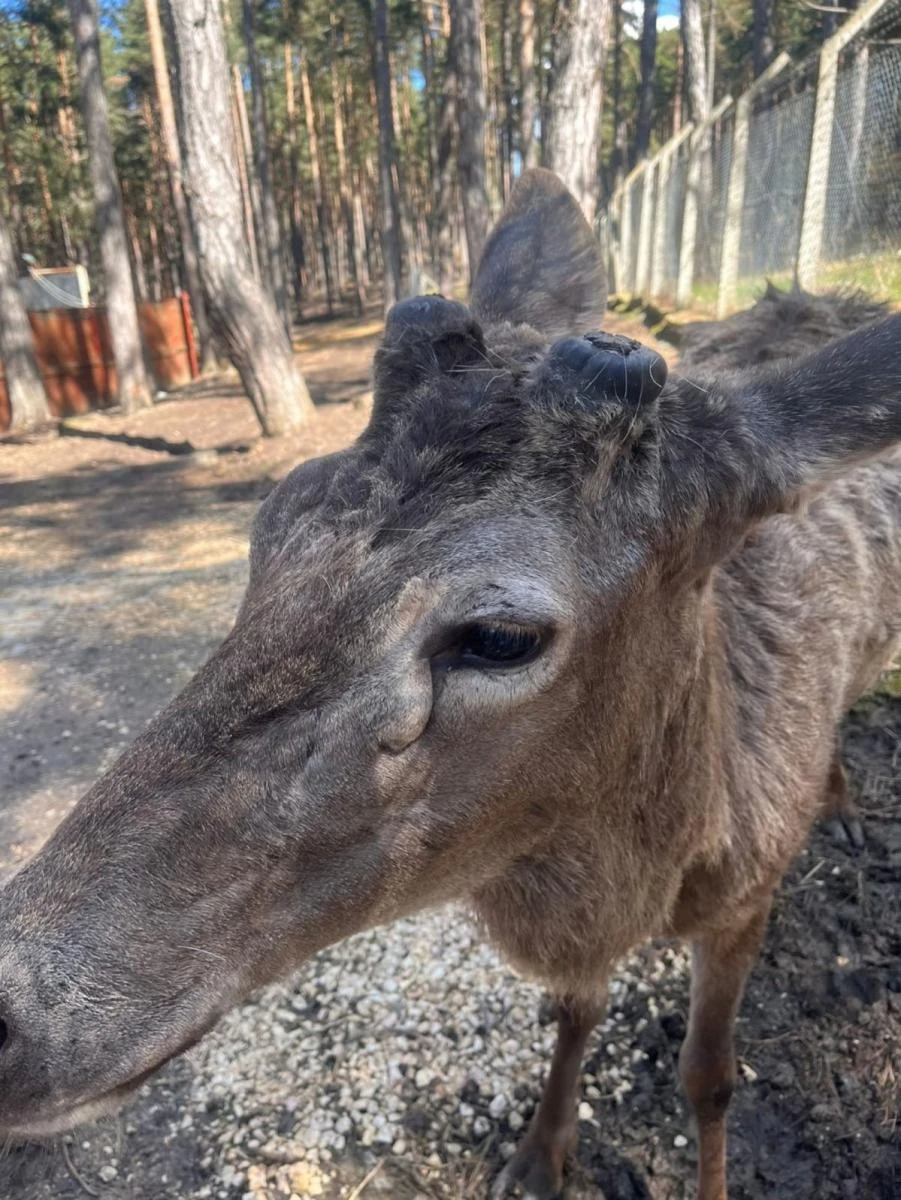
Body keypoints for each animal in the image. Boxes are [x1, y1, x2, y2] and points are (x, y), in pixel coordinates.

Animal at [0, 171, 897, 1200]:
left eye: (502, 636)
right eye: (272, 518)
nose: (9, 1015)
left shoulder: (748, 893)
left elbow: (709, 1080)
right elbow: (573, 1011)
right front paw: (538, 1153)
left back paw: (843, 801)